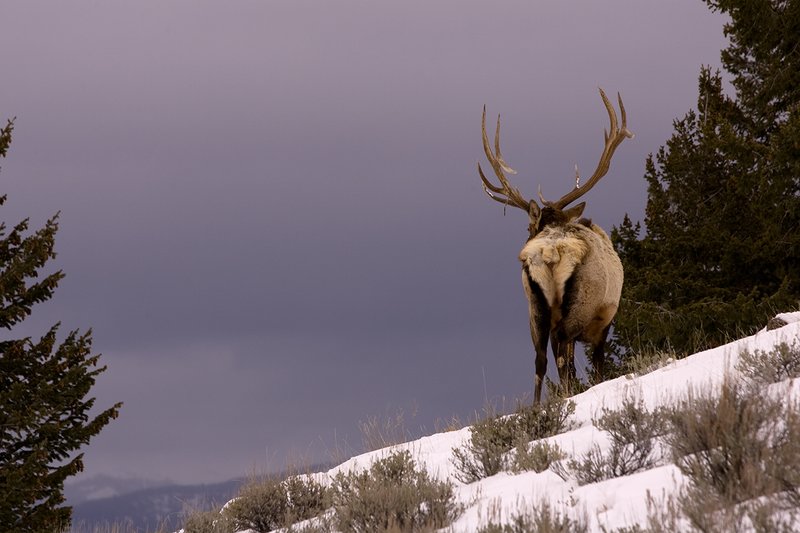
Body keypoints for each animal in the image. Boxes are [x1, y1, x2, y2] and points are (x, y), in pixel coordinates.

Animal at [478, 88, 633, 403]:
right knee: (563, 357)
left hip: (536, 308)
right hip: (578, 306)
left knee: (540, 359)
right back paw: (564, 398)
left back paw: (538, 407)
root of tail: (549, 252)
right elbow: (596, 364)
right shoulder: (603, 321)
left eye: (527, 227)